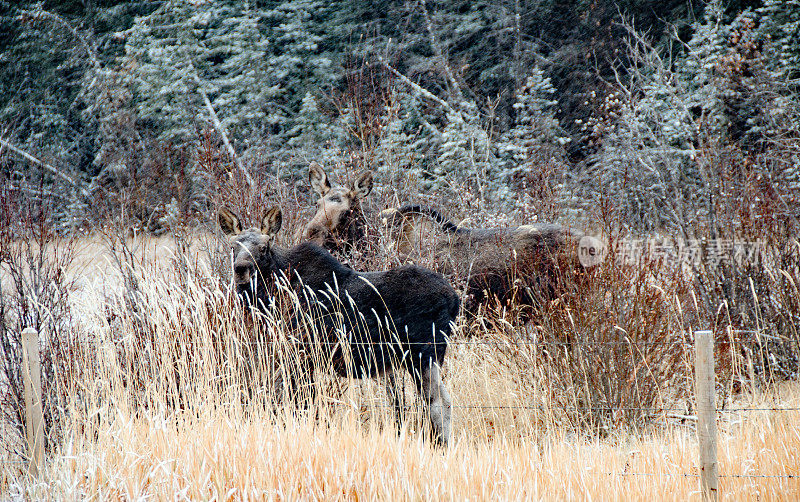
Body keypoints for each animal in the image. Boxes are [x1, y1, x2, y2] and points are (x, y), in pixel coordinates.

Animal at [219, 204, 460, 448]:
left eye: (263, 247)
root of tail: (454, 300)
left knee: (439, 402)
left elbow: (301, 404)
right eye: (232, 246)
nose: (241, 269)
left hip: (423, 354)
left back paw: (441, 445)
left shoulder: (301, 353)